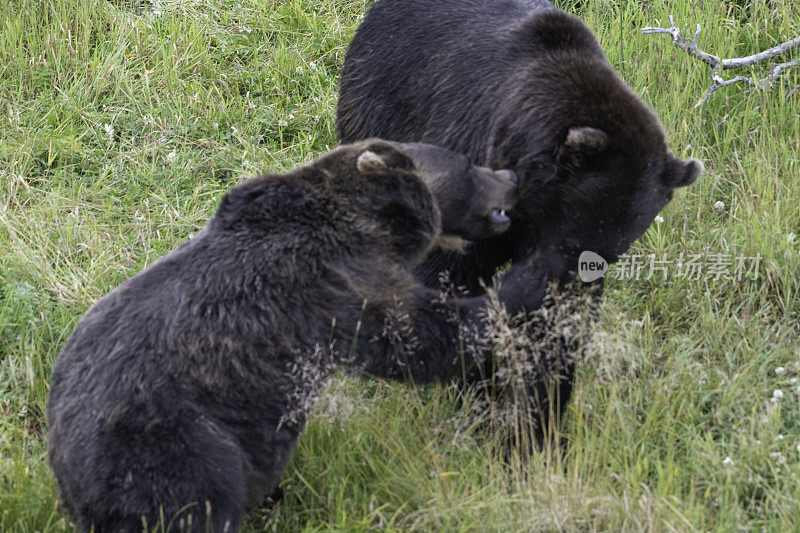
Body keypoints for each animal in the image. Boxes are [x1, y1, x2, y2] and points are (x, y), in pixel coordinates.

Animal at [47, 139, 548, 528]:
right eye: (466, 164)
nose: (510, 174)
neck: (371, 229)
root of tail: (69, 468)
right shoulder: (337, 283)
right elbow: (417, 337)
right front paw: (529, 277)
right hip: (177, 446)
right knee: (197, 505)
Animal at [336, 0, 700, 448]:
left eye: (609, 254)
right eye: (571, 240)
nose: (553, 282)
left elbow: (555, 338)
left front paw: (541, 422)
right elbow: (451, 280)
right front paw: (479, 398)